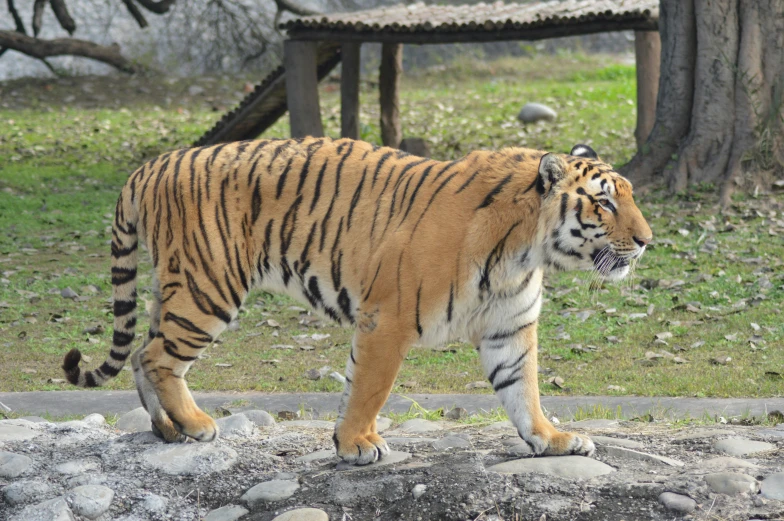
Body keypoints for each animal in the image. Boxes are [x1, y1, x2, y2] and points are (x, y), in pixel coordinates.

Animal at [61, 137, 652, 464]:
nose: (647, 240)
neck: (526, 250)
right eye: (603, 203)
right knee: (158, 357)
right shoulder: (386, 320)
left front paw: (552, 440)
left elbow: (523, 393)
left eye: (629, 197)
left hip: (173, 287)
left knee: (142, 354)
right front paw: (355, 444)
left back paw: (167, 430)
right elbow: (370, 388)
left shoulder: (509, 330)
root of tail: (151, 166)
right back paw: (196, 424)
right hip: (208, 287)